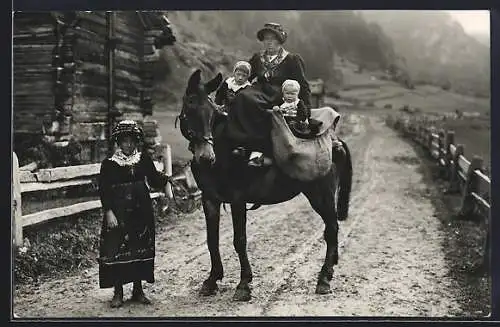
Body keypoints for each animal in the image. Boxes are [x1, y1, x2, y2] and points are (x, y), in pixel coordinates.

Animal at [178, 70, 354, 302]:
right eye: (189, 107)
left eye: (212, 113)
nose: (206, 157)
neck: (224, 150)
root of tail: (335, 140)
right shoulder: (210, 199)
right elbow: (211, 240)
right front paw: (212, 280)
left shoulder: (237, 199)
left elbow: (239, 240)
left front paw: (244, 284)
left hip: (321, 195)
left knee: (331, 230)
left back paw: (324, 279)